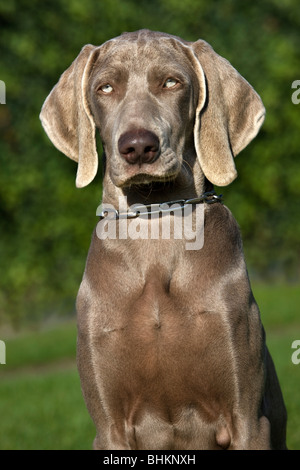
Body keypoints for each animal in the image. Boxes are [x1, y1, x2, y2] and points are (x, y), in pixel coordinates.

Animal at [39, 30, 286, 452]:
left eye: (172, 82)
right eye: (105, 88)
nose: (138, 146)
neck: (156, 221)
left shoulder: (249, 419)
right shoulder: (109, 427)